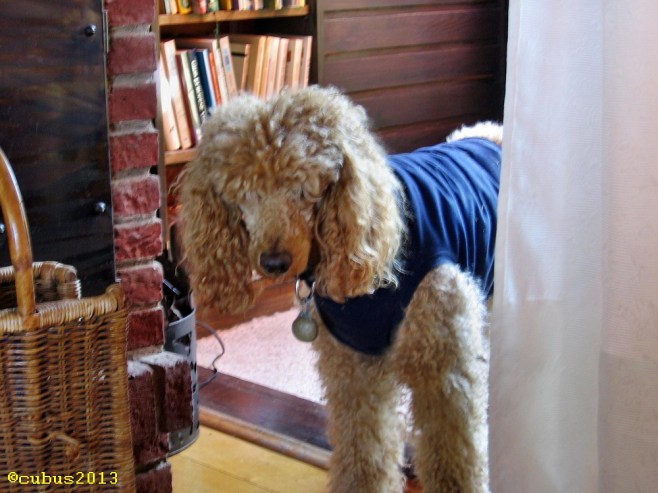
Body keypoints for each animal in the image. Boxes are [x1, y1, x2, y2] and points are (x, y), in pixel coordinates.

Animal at [178, 86, 502, 493]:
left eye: (304, 187)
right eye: (243, 193)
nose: (273, 262)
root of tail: (488, 132)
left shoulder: (443, 374)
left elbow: (455, 457)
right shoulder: (354, 370)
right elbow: (364, 449)